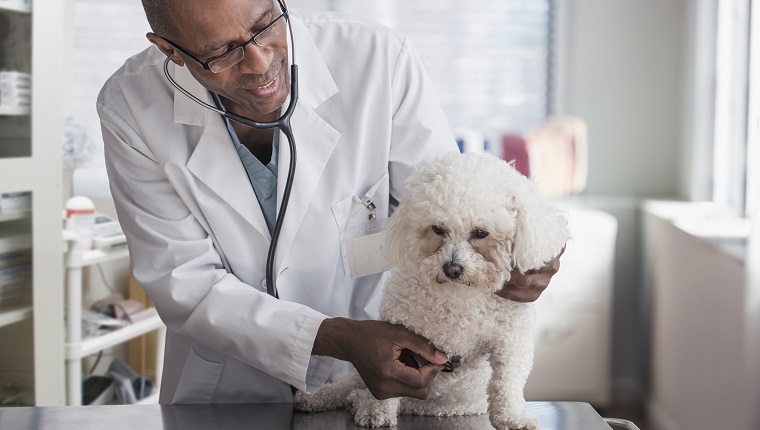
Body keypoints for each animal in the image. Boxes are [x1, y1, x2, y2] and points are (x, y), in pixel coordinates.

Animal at [296, 152, 568, 430]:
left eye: (481, 233)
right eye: (438, 229)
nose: (452, 268)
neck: (459, 296)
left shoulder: (511, 341)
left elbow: (508, 382)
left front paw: (513, 417)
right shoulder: (399, 338)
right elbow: (385, 389)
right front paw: (376, 412)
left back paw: (353, 401)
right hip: (359, 376)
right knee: (346, 385)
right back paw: (320, 398)